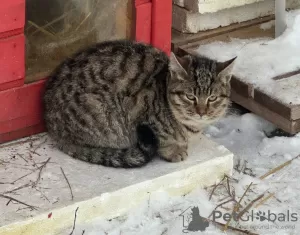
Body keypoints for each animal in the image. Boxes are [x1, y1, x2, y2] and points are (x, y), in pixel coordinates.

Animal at [43, 40, 236, 167]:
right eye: (190, 97)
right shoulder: (140, 110)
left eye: (212, 98)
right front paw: (173, 150)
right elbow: (163, 137)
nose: (201, 112)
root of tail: (53, 128)